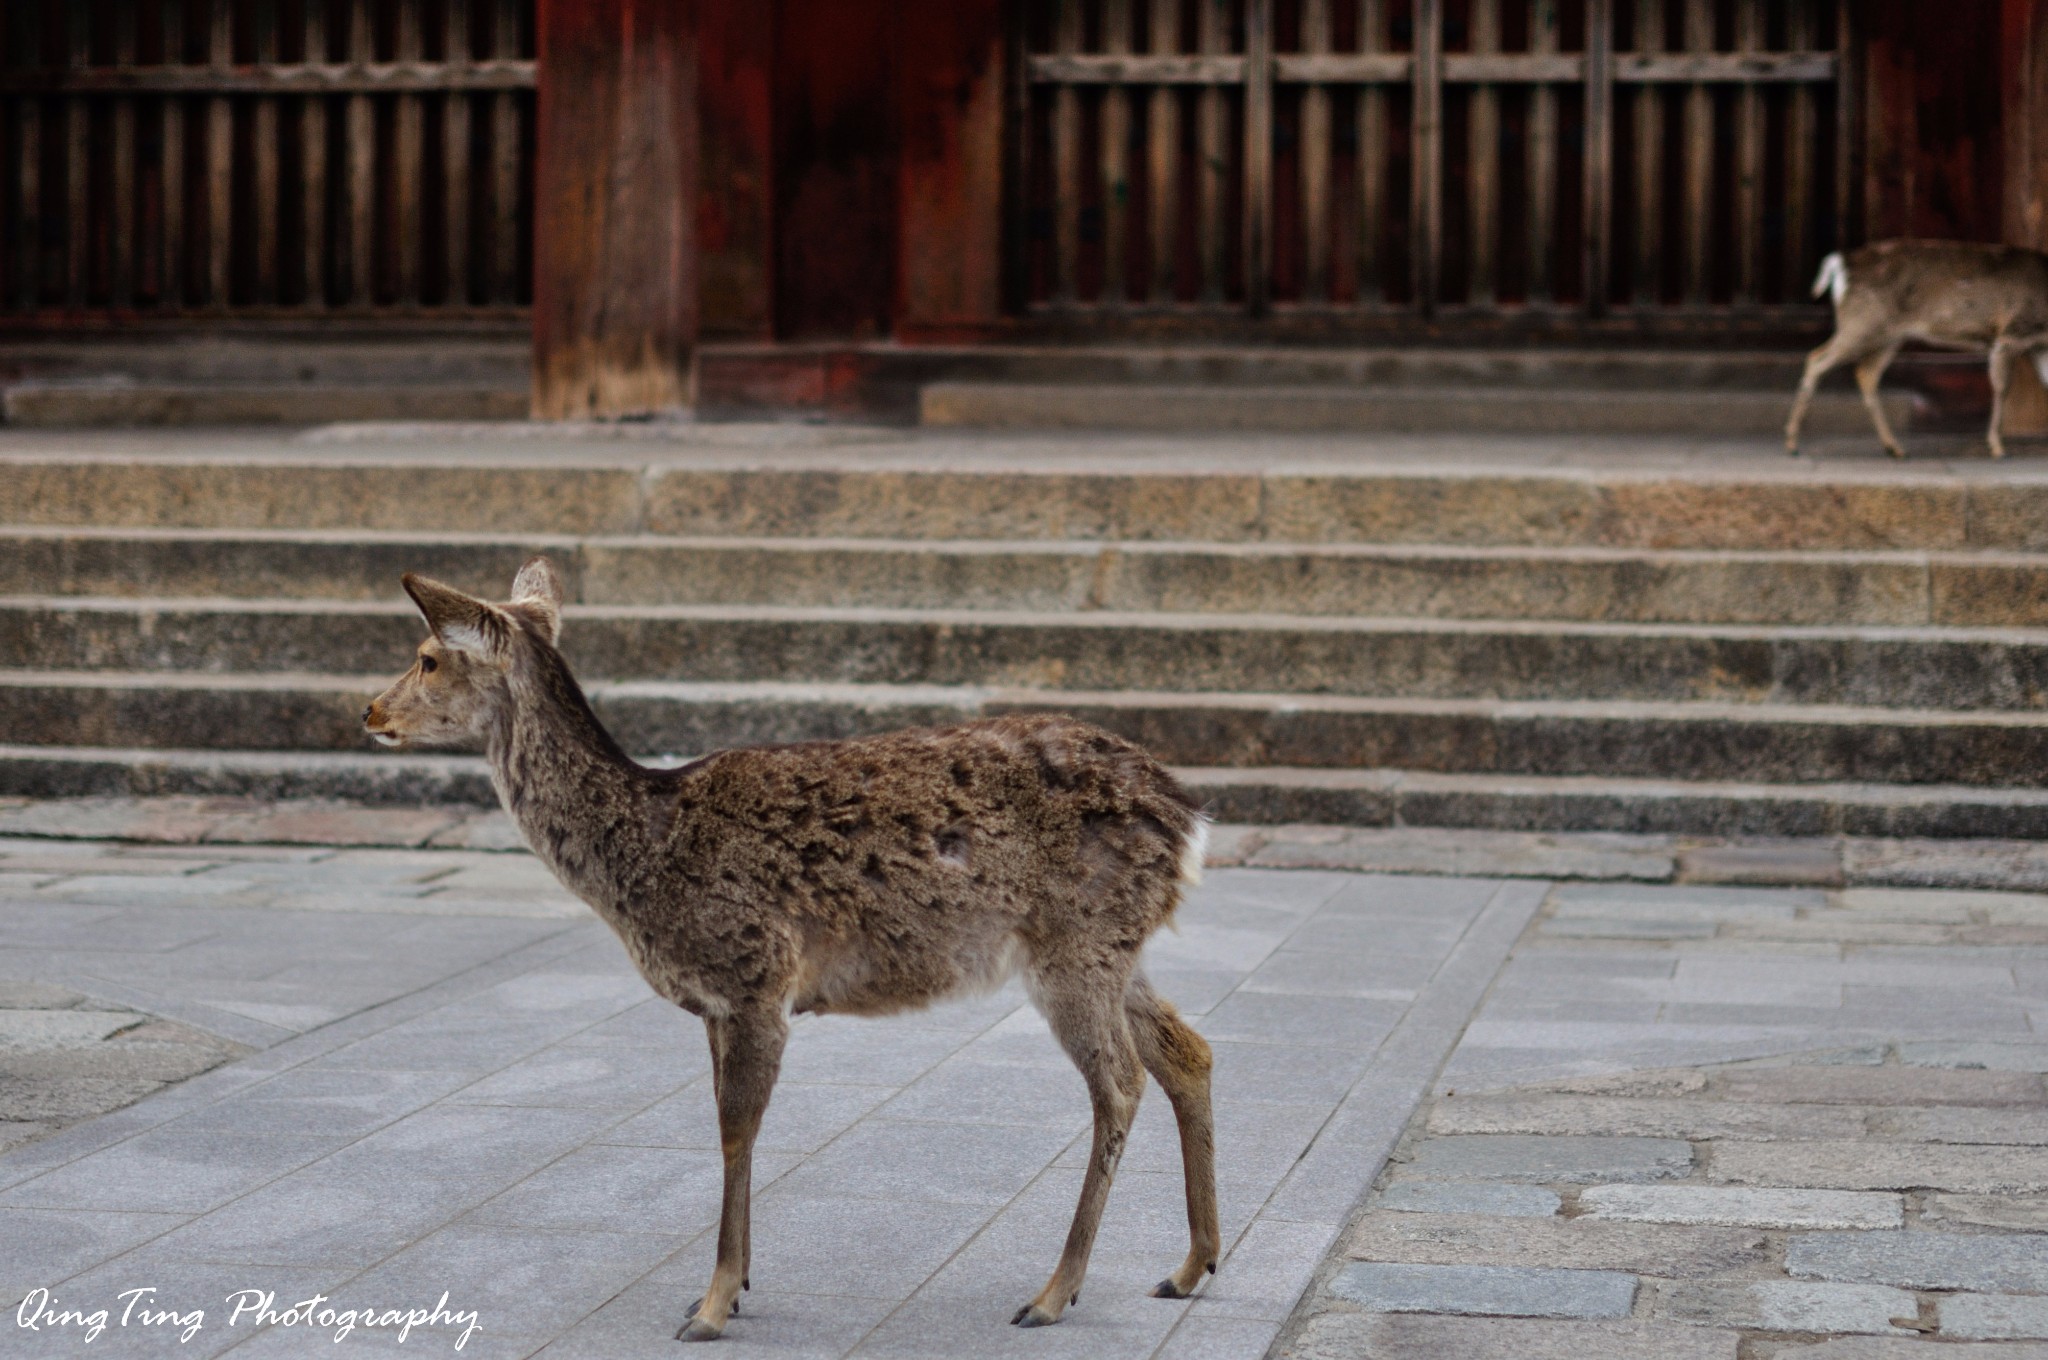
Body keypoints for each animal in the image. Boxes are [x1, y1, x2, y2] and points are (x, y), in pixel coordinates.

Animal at [362, 557, 1220, 1343]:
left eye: (428, 656)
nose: (368, 710)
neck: (641, 860)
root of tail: (1190, 822)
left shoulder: (752, 977)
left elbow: (735, 1129)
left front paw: (711, 1307)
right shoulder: (714, 1002)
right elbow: (725, 1123)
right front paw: (728, 1290)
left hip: (1076, 943)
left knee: (1120, 1082)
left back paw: (1053, 1292)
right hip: (1114, 947)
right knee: (1188, 1049)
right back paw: (1191, 1265)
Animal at [1777, 236, 2048, 458]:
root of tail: (1841, 263)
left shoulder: (2039, 346)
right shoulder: (2011, 333)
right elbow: (2002, 388)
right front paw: (1997, 447)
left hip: (1887, 335)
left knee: (1865, 374)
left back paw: (1894, 447)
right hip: (1861, 322)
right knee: (1816, 359)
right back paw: (1792, 443)